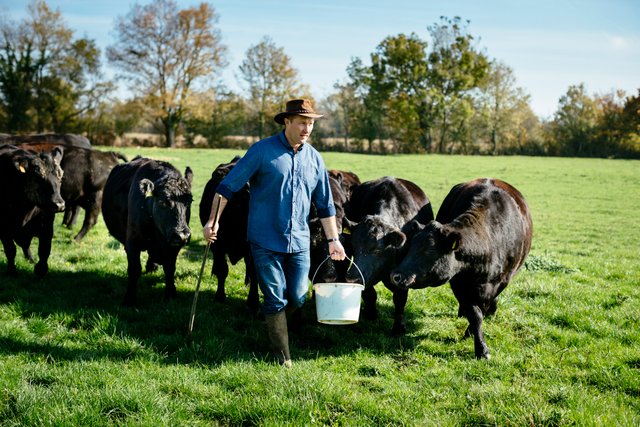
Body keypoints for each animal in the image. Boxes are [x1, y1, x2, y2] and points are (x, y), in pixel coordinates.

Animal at [0, 145, 65, 276]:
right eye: (39, 177)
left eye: (60, 178)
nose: (59, 204)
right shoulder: (4, 229)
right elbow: (10, 250)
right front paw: (11, 271)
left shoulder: (47, 225)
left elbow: (44, 250)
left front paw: (40, 270)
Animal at [101, 156, 192, 304]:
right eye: (162, 202)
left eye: (189, 202)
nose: (182, 235)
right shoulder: (132, 243)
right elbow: (134, 270)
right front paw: (129, 299)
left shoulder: (173, 246)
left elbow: (170, 268)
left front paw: (170, 293)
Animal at [342, 176, 432, 334]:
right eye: (353, 247)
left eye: (377, 250)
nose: (351, 278)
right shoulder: (364, 275)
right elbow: (369, 293)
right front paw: (371, 313)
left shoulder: (404, 274)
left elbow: (400, 299)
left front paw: (398, 328)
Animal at [392, 179, 532, 360]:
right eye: (410, 246)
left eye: (429, 251)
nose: (396, 275)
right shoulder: (458, 282)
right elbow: (475, 314)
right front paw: (480, 346)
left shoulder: (500, 282)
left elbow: (483, 309)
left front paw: (474, 337)